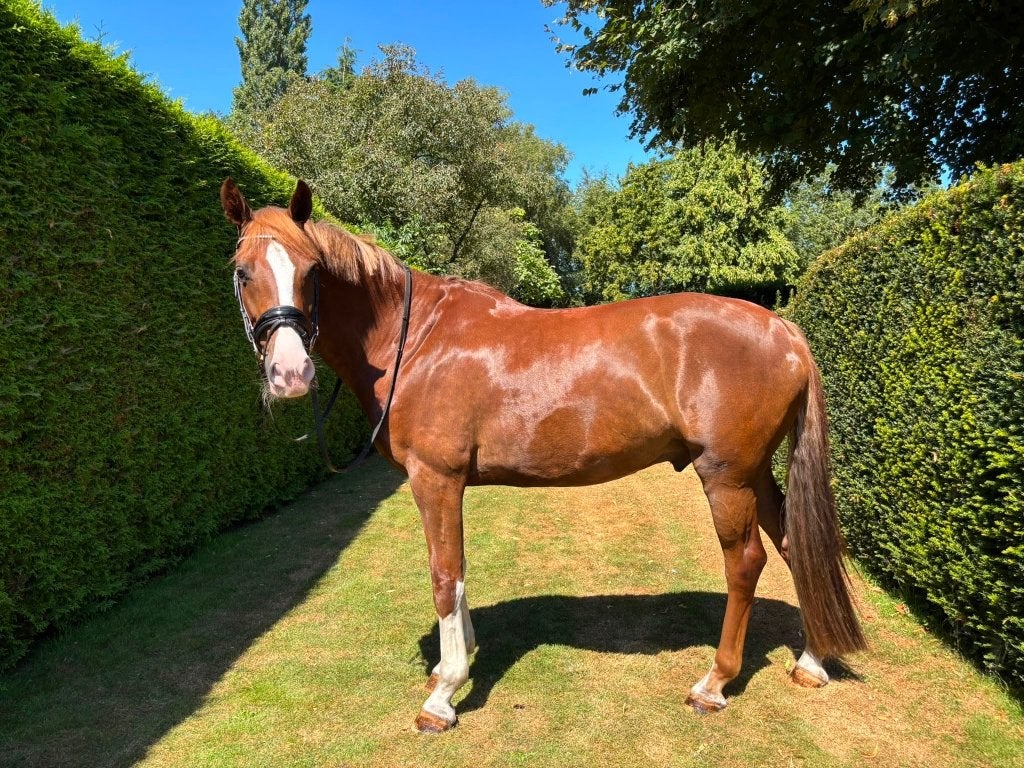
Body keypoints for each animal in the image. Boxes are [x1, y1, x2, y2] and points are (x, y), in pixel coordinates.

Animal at [220, 178, 866, 732]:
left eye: (311, 271)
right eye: (243, 271)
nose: (289, 374)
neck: (418, 339)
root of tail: (785, 329)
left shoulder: (436, 478)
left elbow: (444, 574)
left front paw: (443, 694)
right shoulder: (448, 484)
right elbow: (459, 575)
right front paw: (456, 664)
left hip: (726, 476)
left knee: (746, 563)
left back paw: (714, 683)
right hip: (756, 474)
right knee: (795, 546)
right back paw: (811, 661)